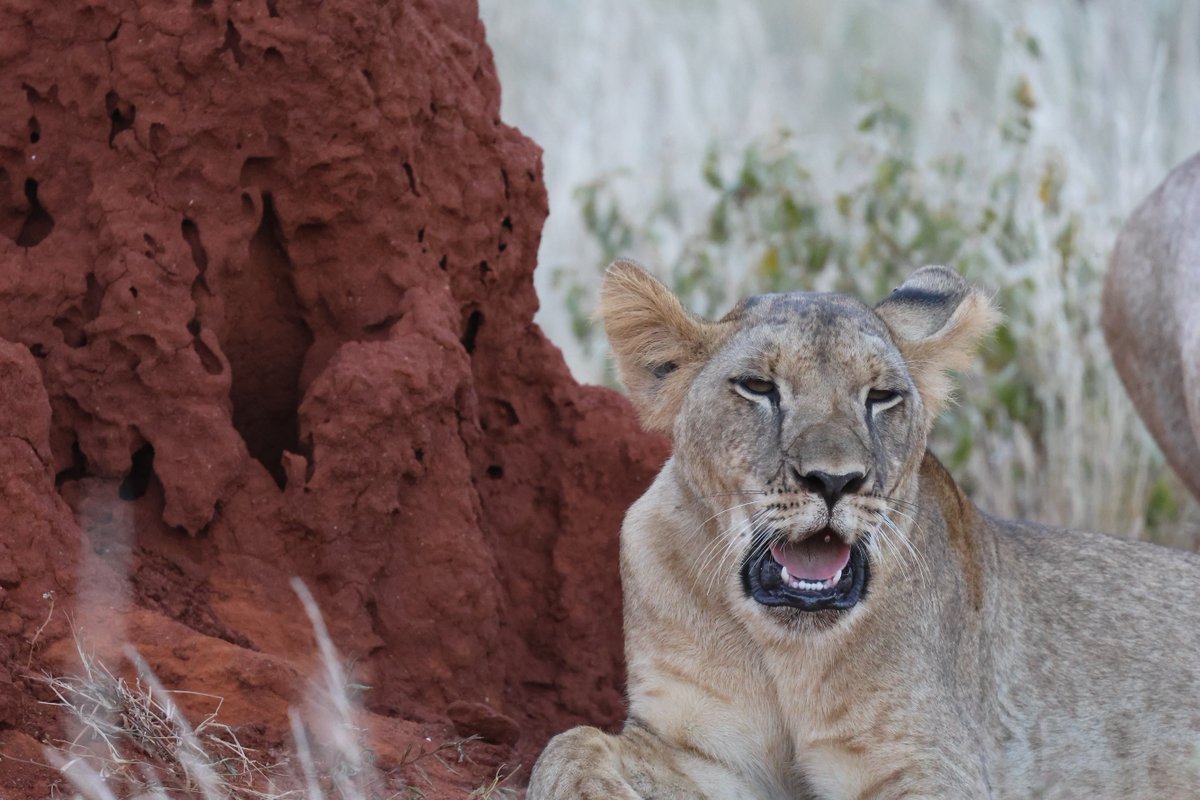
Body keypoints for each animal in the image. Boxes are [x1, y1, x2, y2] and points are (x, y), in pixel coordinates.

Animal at [528, 261, 1200, 799]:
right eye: (759, 387)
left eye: (881, 396)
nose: (834, 480)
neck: (784, 653)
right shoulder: (704, 752)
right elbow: (569, 742)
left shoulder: (930, 764)